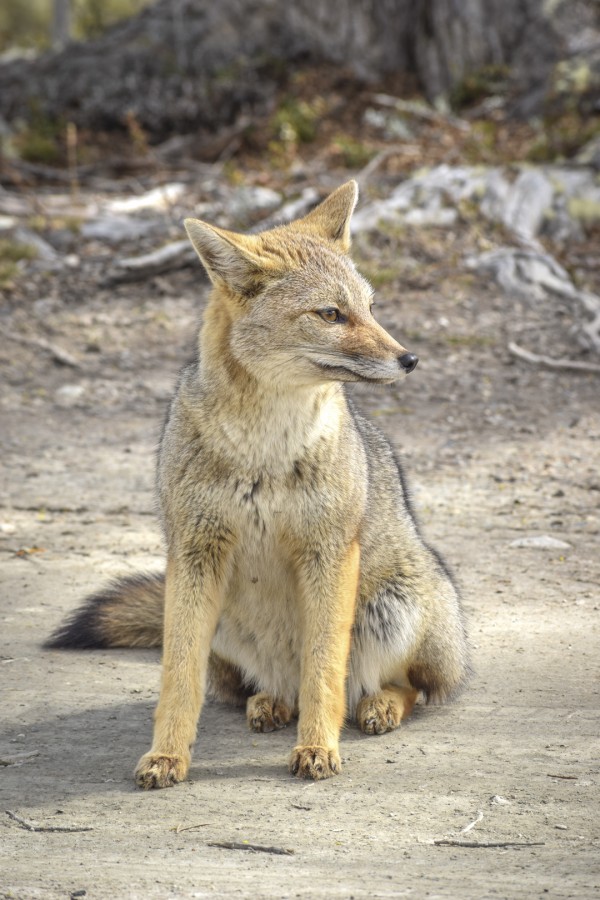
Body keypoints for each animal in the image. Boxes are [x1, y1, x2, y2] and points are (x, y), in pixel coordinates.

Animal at [45, 181, 468, 788]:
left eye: (371, 308)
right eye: (331, 314)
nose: (409, 358)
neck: (262, 449)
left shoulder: (328, 551)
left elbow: (324, 669)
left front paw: (318, 748)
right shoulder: (194, 550)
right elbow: (177, 677)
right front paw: (167, 755)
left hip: (391, 609)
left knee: (400, 687)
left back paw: (378, 705)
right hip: (218, 616)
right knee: (272, 685)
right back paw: (270, 702)